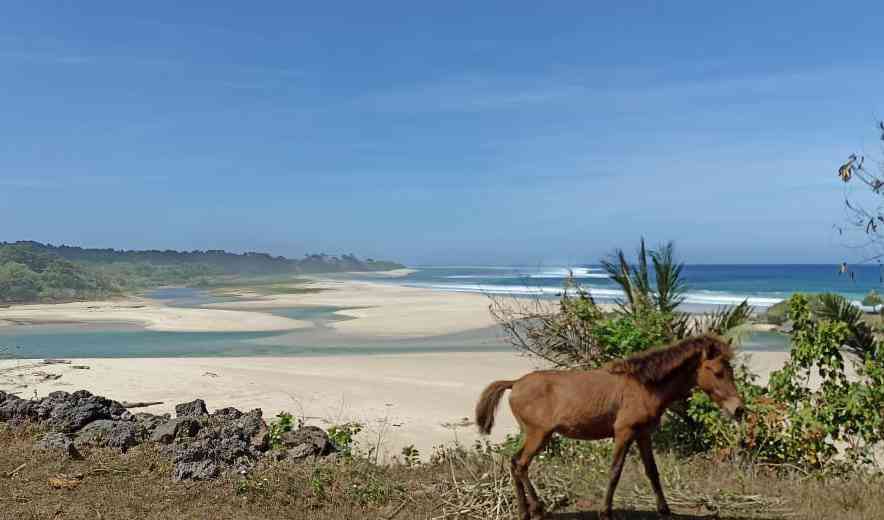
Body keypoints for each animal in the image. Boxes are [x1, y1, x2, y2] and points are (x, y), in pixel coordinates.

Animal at [474, 336, 744, 516]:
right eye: (717, 372)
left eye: (730, 370)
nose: (738, 409)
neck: (643, 386)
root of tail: (515, 383)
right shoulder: (624, 432)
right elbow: (615, 471)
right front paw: (605, 511)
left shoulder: (643, 434)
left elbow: (652, 472)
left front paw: (665, 510)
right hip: (539, 435)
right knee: (520, 465)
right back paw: (538, 510)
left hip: (532, 435)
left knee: (514, 463)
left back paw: (525, 512)